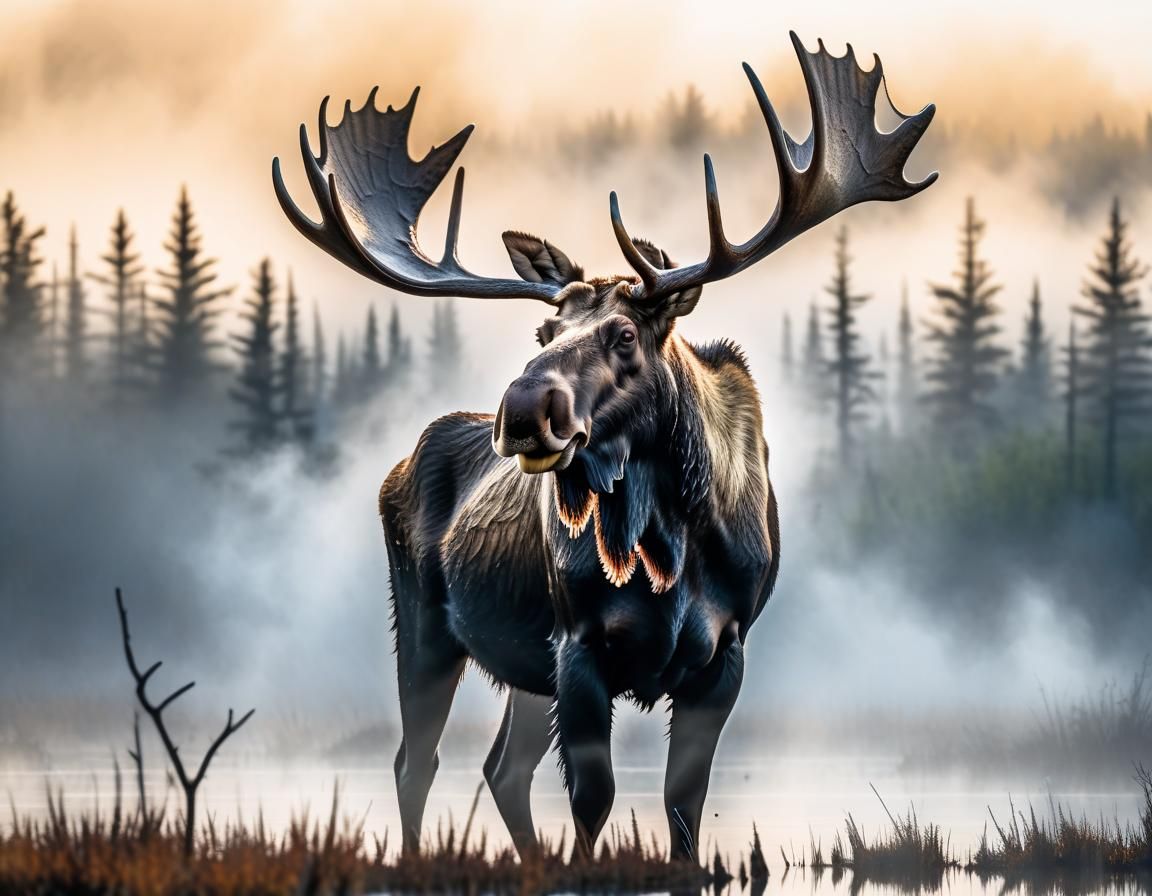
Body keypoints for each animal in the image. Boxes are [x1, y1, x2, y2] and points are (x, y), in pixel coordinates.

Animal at [273, 32, 936, 862]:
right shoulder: (580, 643)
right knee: (415, 761)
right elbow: (593, 800)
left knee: (500, 767)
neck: (668, 542)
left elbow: (684, 805)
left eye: (624, 335)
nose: (524, 409)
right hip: (425, 621)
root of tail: (396, 466)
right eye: (544, 331)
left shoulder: (725, 651)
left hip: (521, 663)